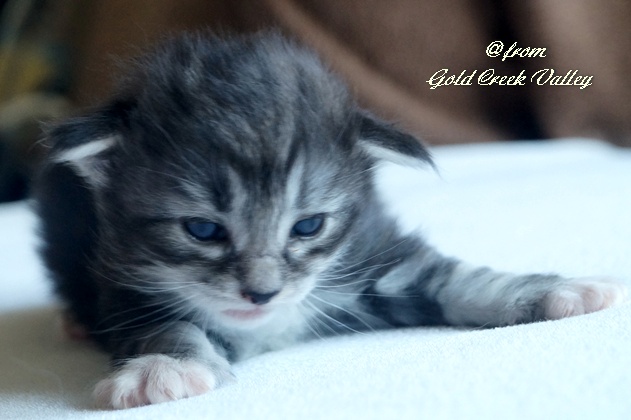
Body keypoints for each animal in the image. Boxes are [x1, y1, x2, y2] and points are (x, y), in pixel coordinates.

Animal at [34, 32, 627, 409]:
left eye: (307, 227)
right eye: (202, 230)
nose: (262, 293)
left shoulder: (374, 252)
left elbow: (464, 278)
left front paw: (565, 291)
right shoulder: (126, 285)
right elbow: (164, 324)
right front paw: (166, 368)